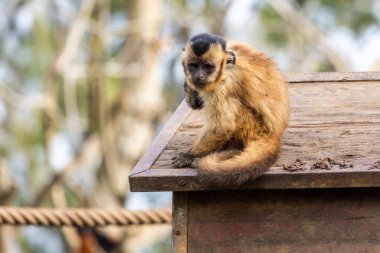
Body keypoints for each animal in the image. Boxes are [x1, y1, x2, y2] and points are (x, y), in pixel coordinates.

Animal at [171, 33, 288, 186]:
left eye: (207, 67)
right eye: (193, 66)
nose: (199, 76)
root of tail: (274, 134)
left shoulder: (224, 85)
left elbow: (222, 126)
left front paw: (189, 156)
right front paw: (191, 91)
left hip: (254, 127)